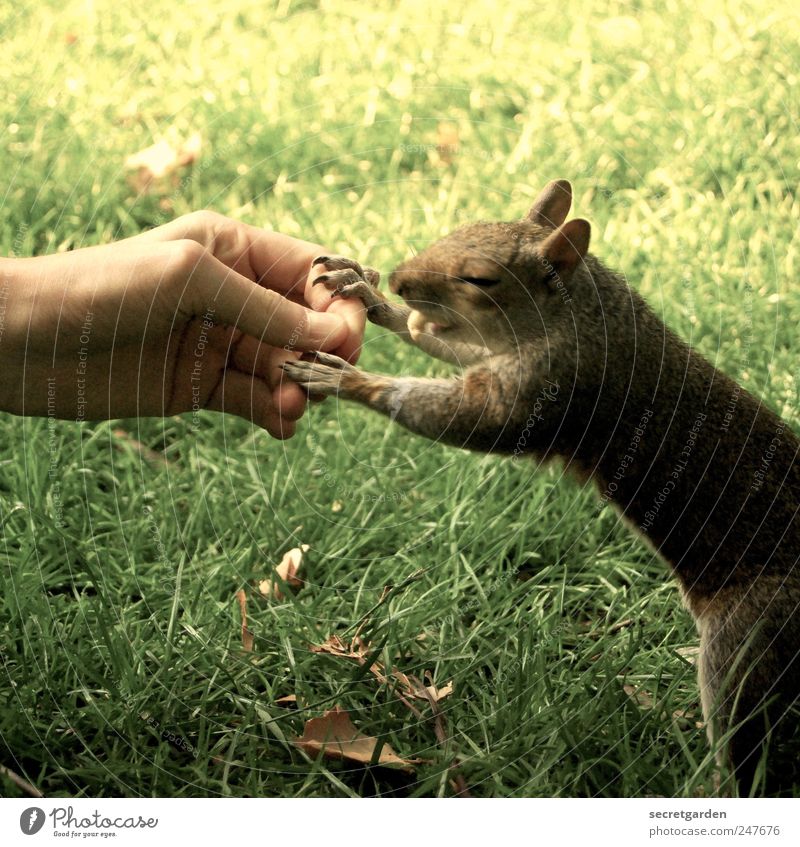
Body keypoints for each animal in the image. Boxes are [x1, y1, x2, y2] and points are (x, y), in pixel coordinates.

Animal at [282, 179, 800, 796]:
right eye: (459, 227)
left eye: (481, 279)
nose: (403, 279)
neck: (583, 311)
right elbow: (455, 349)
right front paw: (366, 292)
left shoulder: (550, 386)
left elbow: (474, 418)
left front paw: (347, 379)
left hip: (751, 636)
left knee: (746, 734)